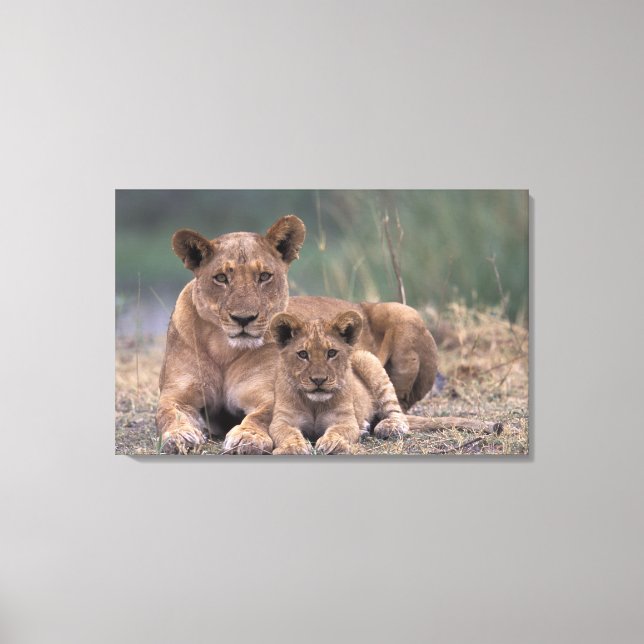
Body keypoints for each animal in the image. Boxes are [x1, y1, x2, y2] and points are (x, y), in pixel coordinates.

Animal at [157, 214, 440, 454]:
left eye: (264, 276)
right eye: (221, 278)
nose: (244, 319)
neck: (223, 348)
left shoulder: (272, 396)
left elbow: (261, 415)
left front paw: (247, 436)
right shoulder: (176, 395)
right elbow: (168, 413)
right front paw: (180, 436)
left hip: (404, 313)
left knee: (396, 405)